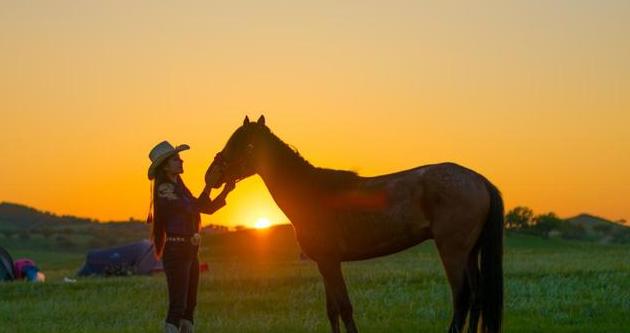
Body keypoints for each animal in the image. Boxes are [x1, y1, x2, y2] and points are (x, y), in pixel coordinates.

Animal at [205, 115, 506, 332]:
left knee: (462, 298)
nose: (211, 176)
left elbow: (345, 308)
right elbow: (333, 311)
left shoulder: (330, 262)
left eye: (245, 145)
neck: (311, 193)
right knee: (477, 298)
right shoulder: (324, 263)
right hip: (470, 253)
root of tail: (478, 180)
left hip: (452, 251)